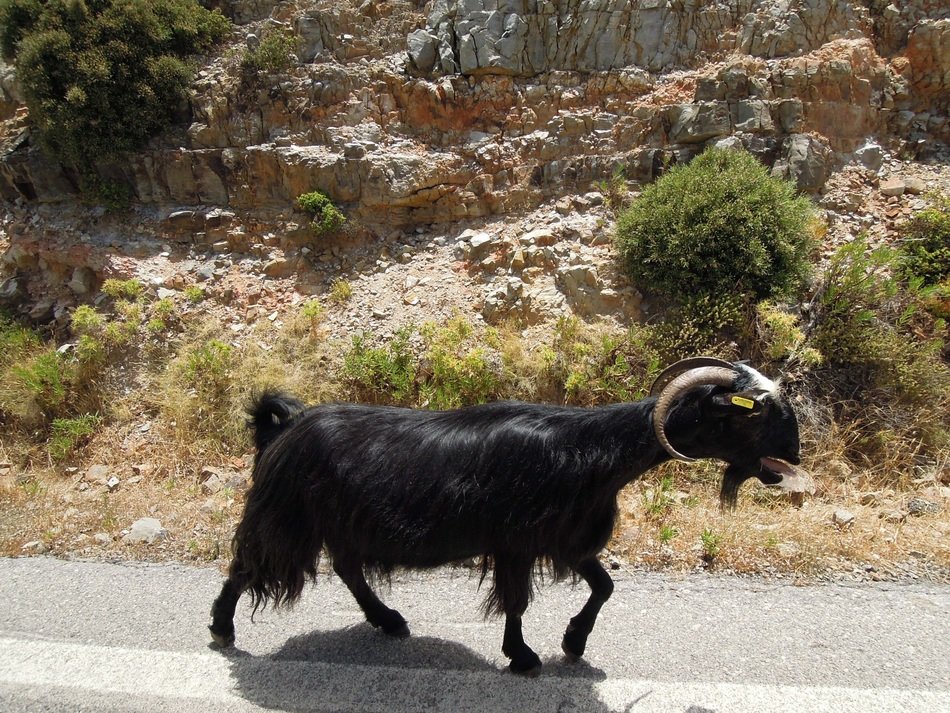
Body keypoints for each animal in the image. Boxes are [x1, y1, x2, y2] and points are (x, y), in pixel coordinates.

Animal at [209, 357, 803, 674]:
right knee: (245, 567)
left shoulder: (569, 540)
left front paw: (573, 642)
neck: (593, 452)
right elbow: (517, 602)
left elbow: (604, 587)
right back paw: (221, 628)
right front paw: (523, 657)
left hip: (345, 525)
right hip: (285, 517)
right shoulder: (517, 543)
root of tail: (280, 429)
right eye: (757, 414)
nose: (793, 457)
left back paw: (390, 621)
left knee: (349, 570)